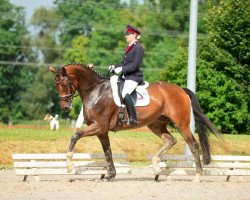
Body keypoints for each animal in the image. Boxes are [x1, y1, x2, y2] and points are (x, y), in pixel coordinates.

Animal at [49, 63, 221, 181]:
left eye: (64, 84)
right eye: (56, 85)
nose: (65, 107)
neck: (96, 91)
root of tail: (180, 89)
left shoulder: (98, 126)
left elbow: (75, 135)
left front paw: (69, 165)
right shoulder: (102, 131)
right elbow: (107, 151)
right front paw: (110, 175)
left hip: (181, 124)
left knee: (193, 145)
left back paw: (197, 175)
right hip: (155, 124)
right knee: (170, 140)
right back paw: (156, 166)